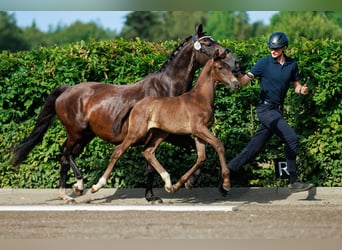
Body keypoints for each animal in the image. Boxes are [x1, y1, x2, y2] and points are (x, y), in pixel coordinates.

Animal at [91, 48, 239, 193]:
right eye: (220, 67)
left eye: (229, 68)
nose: (236, 84)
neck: (200, 98)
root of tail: (136, 104)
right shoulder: (199, 129)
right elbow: (218, 145)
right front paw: (226, 183)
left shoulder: (198, 134)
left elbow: (201, 158)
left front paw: (180, 184)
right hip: (136, 133)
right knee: (118, 151)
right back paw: (96, 186)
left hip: (160, 133)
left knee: (148, 152)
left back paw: (168, 183)